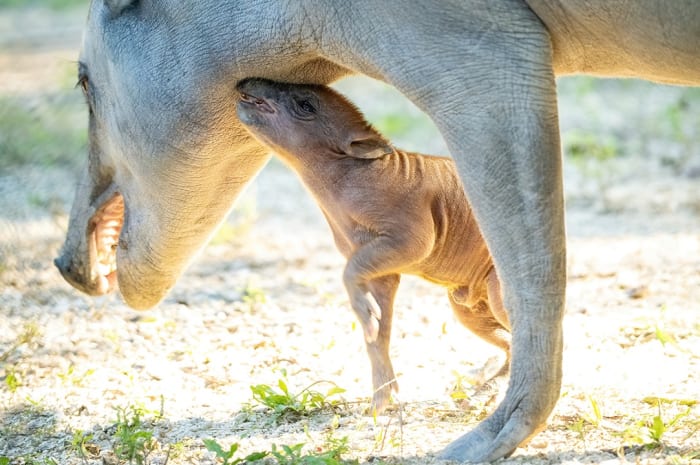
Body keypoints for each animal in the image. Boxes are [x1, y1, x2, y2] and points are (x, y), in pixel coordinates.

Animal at [235, 78, 511, 412]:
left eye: (305, 104)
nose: (245, 82)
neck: (354, 173)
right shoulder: (383, 272)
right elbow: (380, 334)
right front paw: (381, 399)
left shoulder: (410, 238)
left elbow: (351, 275)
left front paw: (365, 314)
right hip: (467, 308)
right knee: (510, 342)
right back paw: (486, 390)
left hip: (497, 292)